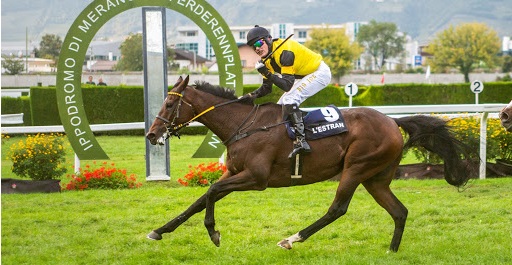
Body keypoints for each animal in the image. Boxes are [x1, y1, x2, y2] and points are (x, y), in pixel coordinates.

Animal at [145, 75, 476, 251]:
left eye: (170, 104)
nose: (151, 134)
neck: (243, 124)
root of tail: (393, 122)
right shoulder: (235, 173)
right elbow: (200, 199)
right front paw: (159, 230)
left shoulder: (256, 178)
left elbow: (211, 192)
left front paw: (214, 233)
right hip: (376, 178)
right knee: (399, 211)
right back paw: (392, 251)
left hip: (356, 167)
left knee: (337, 209)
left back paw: (292, 238)